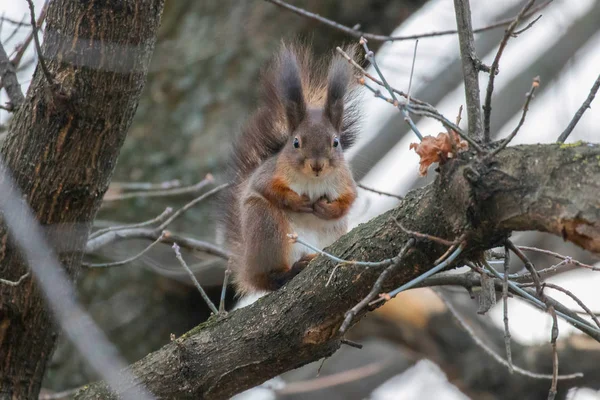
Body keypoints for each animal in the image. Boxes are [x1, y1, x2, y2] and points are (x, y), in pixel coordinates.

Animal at [221, 44, 358, 294]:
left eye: (336, 142)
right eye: (296, 142)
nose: (317, 165)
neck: (313, 180)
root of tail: (248, 271)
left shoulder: (344, 180)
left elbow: (349, 199)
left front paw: (325, 208)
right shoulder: (269, 173)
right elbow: (265, 187)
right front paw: (297, 202)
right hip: (267, 228)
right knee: (270, 278)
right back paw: (288, 271)